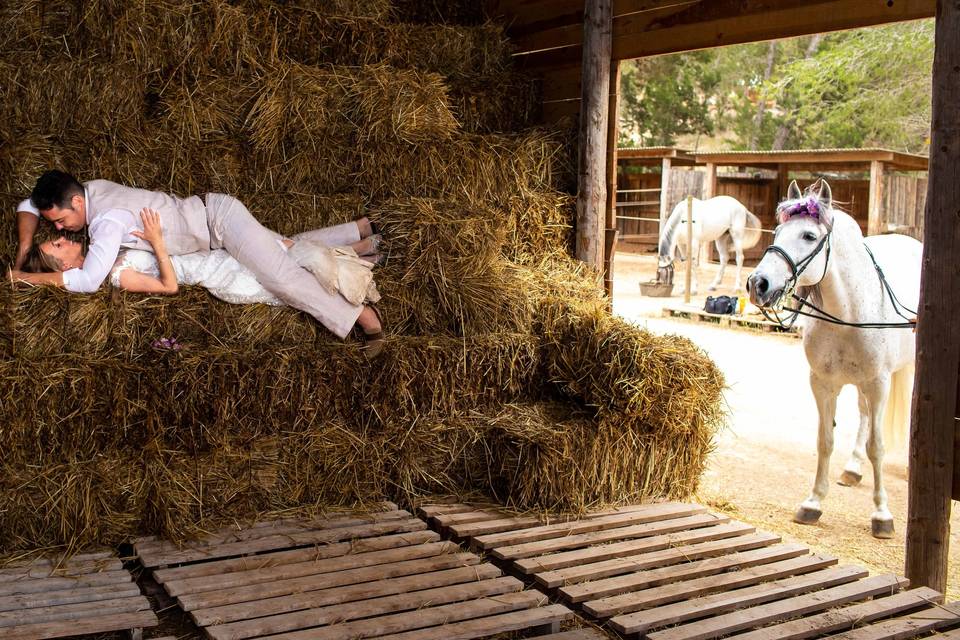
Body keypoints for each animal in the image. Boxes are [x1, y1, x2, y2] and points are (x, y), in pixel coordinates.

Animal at [748, 180, 920, 540]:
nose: (758, 284)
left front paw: (882, 514)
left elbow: (877, 447)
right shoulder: (823, 384)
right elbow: (825, 440)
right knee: (863, 416)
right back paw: (852, 469)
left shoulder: (879, 383)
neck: (849, 313)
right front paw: (813, 503)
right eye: (778, 231)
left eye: (809, 236)